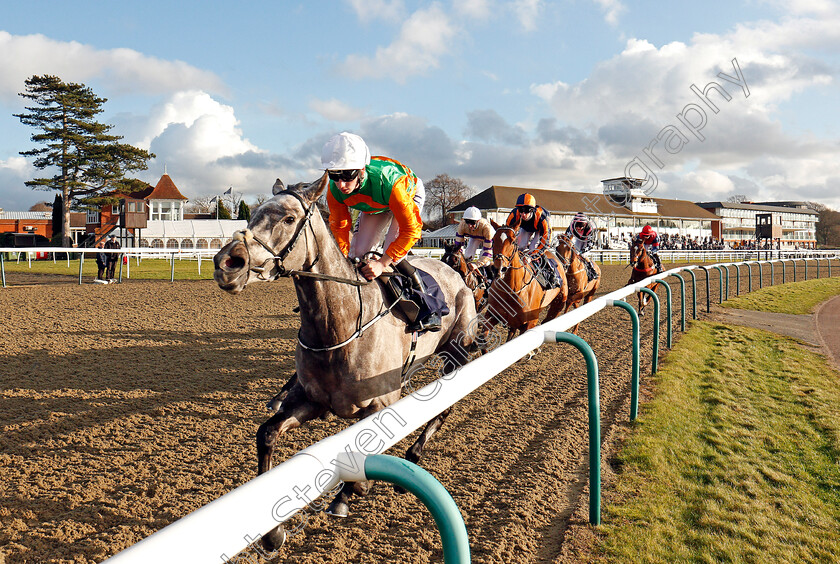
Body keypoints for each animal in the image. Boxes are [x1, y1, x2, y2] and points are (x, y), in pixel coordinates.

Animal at [213, 174, 476, 548]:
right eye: (253, 217)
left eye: (288, 219)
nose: (227, 263)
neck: (341, 325)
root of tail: (455, 271)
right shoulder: (311, 400)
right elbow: (267, 433)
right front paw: (272, 532)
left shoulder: (380, 403)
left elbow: (360, 462)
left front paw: (349, 494)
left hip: (457, 350)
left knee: (446, 405)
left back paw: (414, 453)